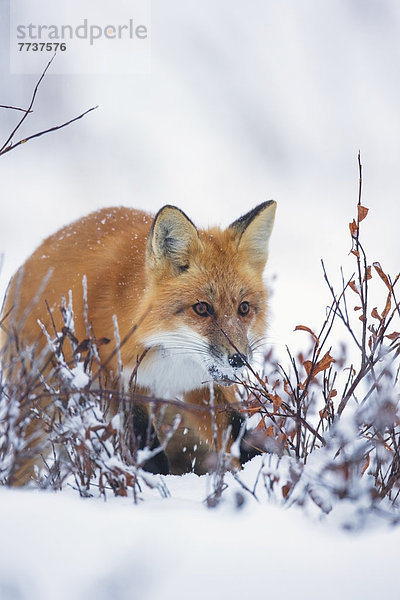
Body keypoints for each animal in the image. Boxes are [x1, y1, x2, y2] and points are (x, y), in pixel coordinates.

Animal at [0, 202, 276, 482]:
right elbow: (147, 448)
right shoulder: (114, 380)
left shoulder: (198, 385)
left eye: (244, 308)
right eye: (202, 308)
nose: (238, 359)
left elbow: (237, 432)